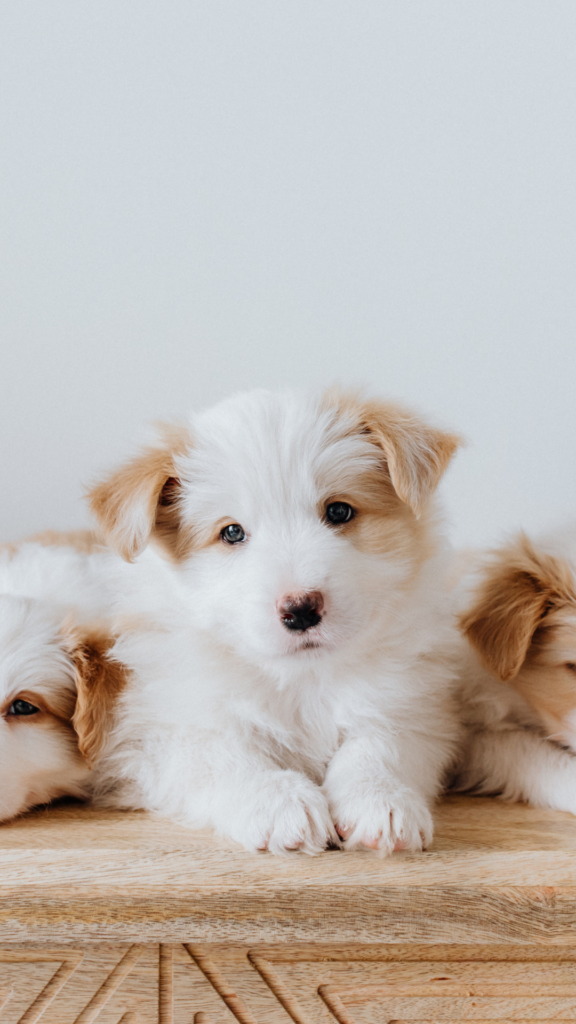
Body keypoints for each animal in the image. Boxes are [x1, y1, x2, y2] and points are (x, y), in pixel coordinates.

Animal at [88, 388, 463, 855]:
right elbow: (227, 756)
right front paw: (280, 802)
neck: (301, 679)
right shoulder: (165, 733)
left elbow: (380, 744)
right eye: (232, 533)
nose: (300, 609)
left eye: (339, 511)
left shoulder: (416, 708)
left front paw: (381, 800)